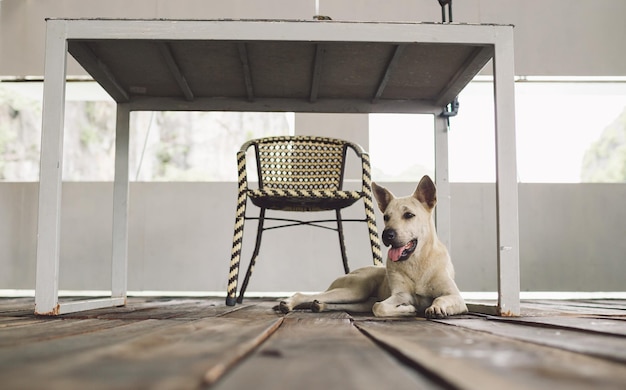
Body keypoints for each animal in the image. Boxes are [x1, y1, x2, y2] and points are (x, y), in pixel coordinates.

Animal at [280, 175, 466, 318]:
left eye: (409, 215)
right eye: (386, 217)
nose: (387, 234)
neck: (417, 261)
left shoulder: (455, 297)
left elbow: (441, 298)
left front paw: (436, 307)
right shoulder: (400, 295)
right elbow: (380, 307)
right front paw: (409, 309)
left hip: (358, 300)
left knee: (347, 303)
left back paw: (320, 305)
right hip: (354, 290)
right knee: (309, 295)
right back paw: (289, 302)